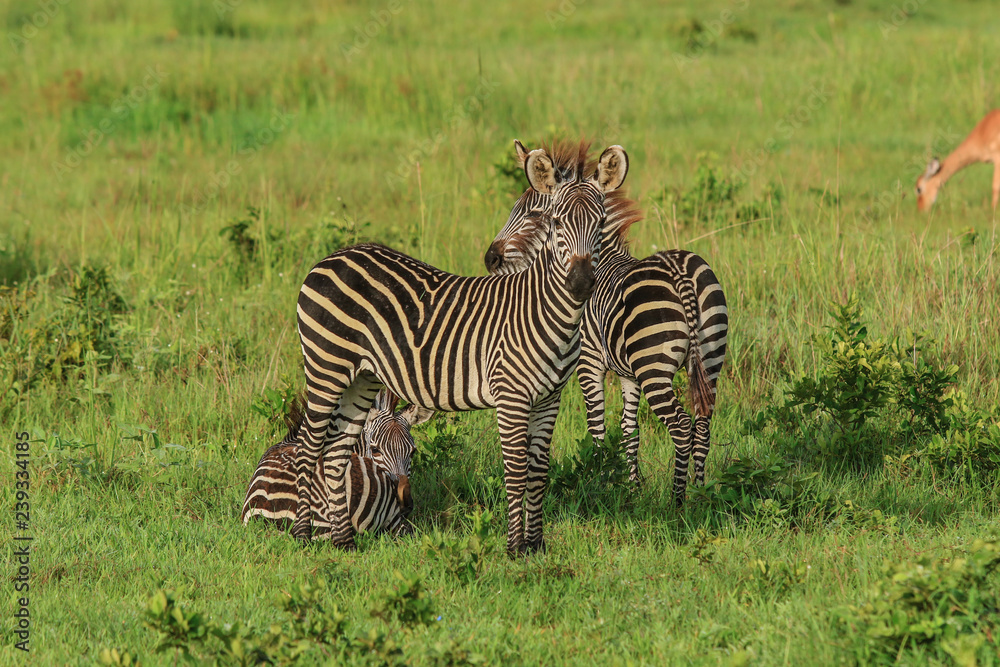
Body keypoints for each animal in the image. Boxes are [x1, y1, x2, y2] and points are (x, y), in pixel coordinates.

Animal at [291, 142, 629, 556]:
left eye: (600, 224)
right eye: (555, 224)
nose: (580, 284)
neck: (546, 312)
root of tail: (331, 258)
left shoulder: (550, 398)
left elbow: (538, 472)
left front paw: (535, 546)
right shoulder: (511, 396)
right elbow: (516, 471)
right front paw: (514, 546)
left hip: (362, 377)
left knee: (338, 451)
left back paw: (344, 542)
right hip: (326, 366)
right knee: (309, 446)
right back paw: (303, 535)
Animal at [483, 140, 728, 505]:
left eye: (533, 215)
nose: (490, 258)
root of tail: (680, 272)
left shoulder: (588, 363)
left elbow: (596, 427)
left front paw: (599, 481)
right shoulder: (629, 374)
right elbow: (630, 430)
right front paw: (632, 486)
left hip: (655, 368)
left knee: (682, 426)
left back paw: (677, 500)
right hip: (710, 357)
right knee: (702, 424)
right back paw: (701, 493)